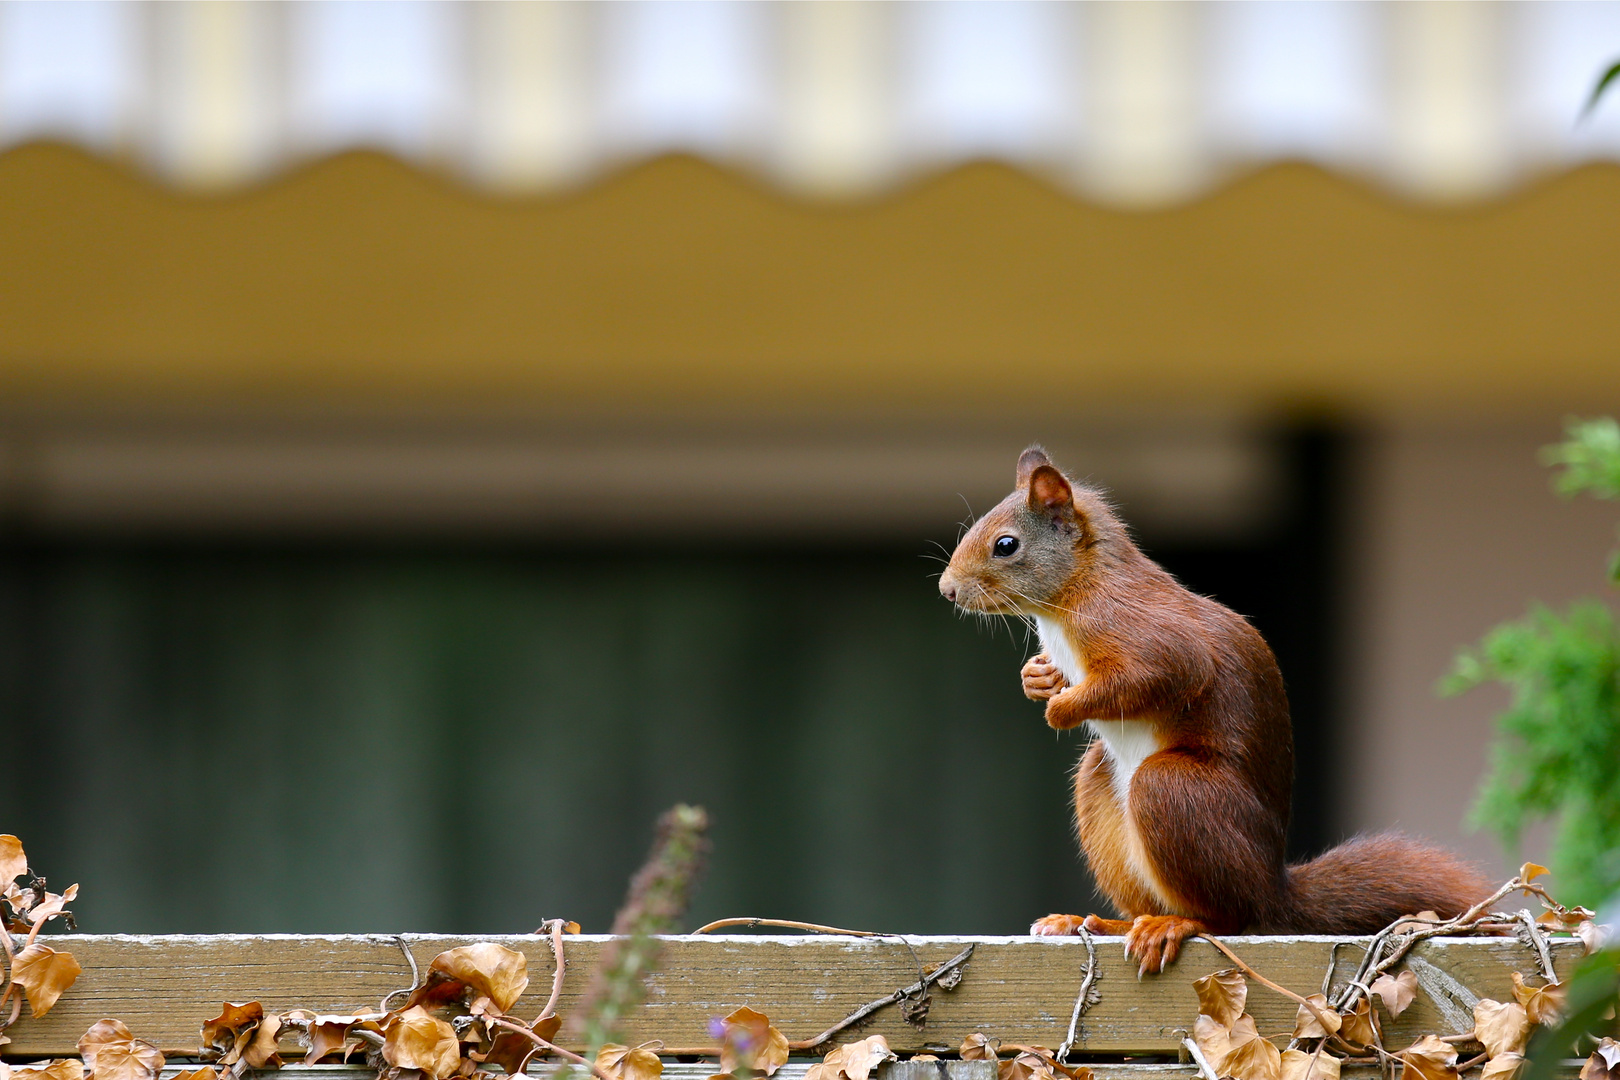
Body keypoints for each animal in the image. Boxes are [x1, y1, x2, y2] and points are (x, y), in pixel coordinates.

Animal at [939, 446, 1483, 971]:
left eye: (1006, 545)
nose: (947, 590)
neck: (1072, 593)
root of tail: (1272, 891)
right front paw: (1038, 679)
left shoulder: (1150, 638)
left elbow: (1155, 677)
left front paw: (1062, 709)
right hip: (1104, 790)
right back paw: (1091, 923)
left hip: (1175, 792)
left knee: (1229, 919)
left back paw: (1174, 925)